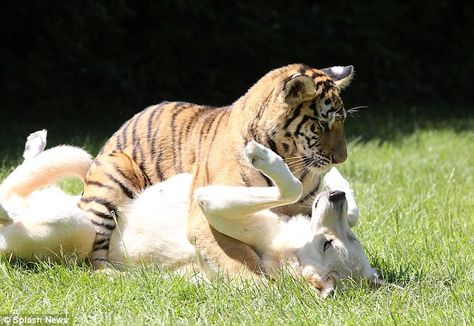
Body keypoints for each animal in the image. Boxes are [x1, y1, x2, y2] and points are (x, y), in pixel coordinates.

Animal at [0, 131, 380, 296]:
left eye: (329, 244)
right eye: (344, 239)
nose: (334, 197)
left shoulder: (210, 201)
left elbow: (292, 187)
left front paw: (266, 157)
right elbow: (333, 201)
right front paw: (334, 177)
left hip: (78, 226)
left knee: (8, 202)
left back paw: (7, 207)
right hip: (79, 177)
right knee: (23, 176)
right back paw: (34, 144)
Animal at [79, 63, 356, 272]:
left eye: (342, 123)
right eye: (322, 125)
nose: (341, 159)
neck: (292, 162)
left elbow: (347, 215)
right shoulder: (203, 218)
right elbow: (236, 257)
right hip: (111, 183)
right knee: (93, 254)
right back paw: (112, 274)